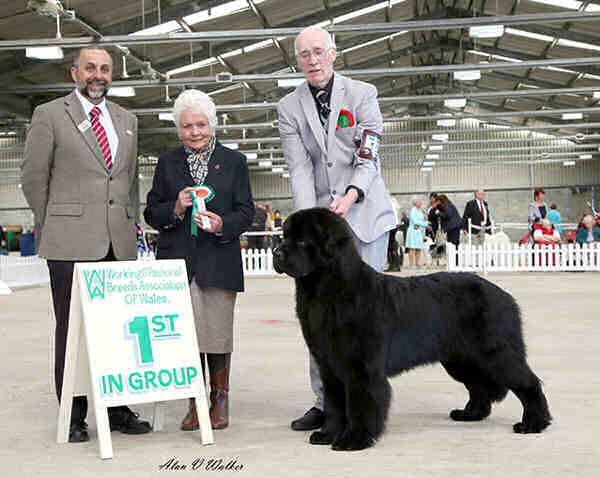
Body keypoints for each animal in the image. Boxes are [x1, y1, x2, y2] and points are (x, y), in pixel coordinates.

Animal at [274, 207, 552, 450]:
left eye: (301, 241)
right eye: (284, 236)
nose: (277, 252)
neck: (326, 291)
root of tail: (505, 296)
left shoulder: (361, 367)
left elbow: (361, 404)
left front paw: (354, 439)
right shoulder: (329, 364)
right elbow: (333, 404)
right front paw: (327, 434)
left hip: (496, 352)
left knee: (528, 383)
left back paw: (534, 423)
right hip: (461, 359)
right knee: (479, 387)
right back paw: (470, 414)